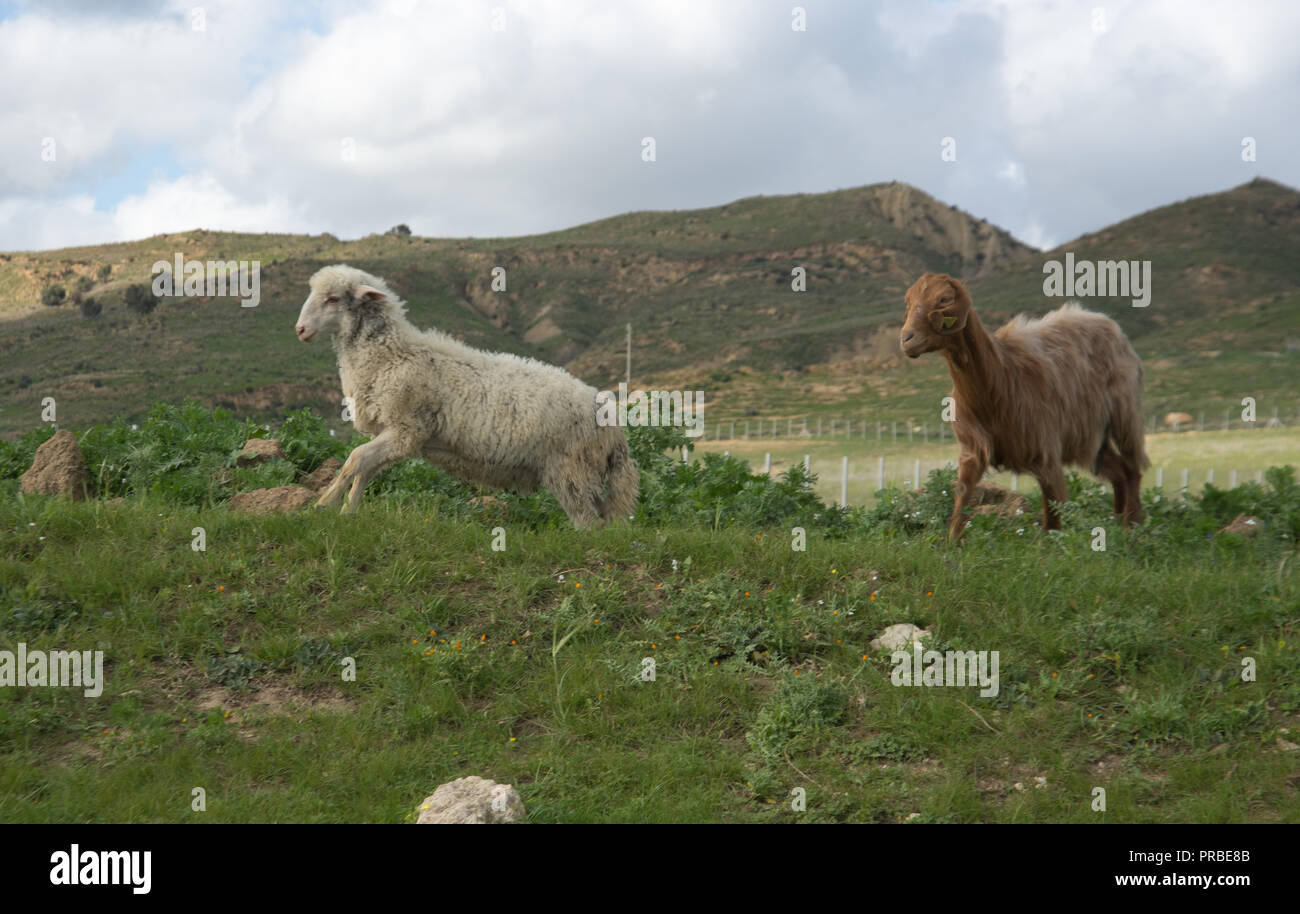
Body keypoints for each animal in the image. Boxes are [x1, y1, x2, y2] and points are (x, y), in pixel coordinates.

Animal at [295, 262, 639, 530]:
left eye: (332, 299)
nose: (300, 330)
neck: (389, 354)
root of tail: (613, 423)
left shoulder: (407, 431)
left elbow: (354, 461)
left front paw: (322, 505)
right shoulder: (393, 434)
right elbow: (364, 469)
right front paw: (347, 512)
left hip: (571, 471)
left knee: (590, 524)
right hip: (582, 473)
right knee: (600, 521)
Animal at [904, 275, 1149, 540]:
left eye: (944, 299)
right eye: (908, 301)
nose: (906, 338)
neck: (1000, 381)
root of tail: (1109, 323)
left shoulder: (1046, 450)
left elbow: (1053, 515)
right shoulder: (973, 449)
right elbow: (962, 496)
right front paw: (952, 542)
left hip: (1124, 413)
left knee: (1132, 467)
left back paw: (1133, 528)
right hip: (1088, 437)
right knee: (1119, 471)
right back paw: (1118, 525)